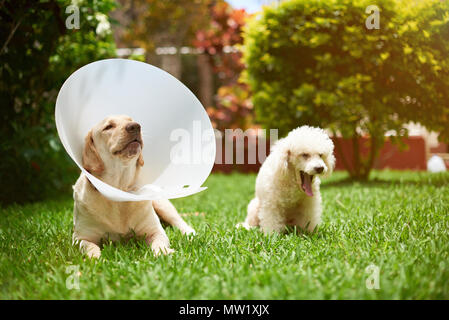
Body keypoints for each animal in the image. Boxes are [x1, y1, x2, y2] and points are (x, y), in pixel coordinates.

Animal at [72, 115, 194, 258]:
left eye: (130, 120)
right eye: (108, 126)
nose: (135, 126)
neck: (119, 189)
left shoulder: (155, 231)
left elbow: (159, 243)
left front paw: (164, 253)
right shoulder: (80, 238)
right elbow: (90, 247)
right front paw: (95, 258)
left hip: (161, 204)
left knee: (178, 221)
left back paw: (189, 233)